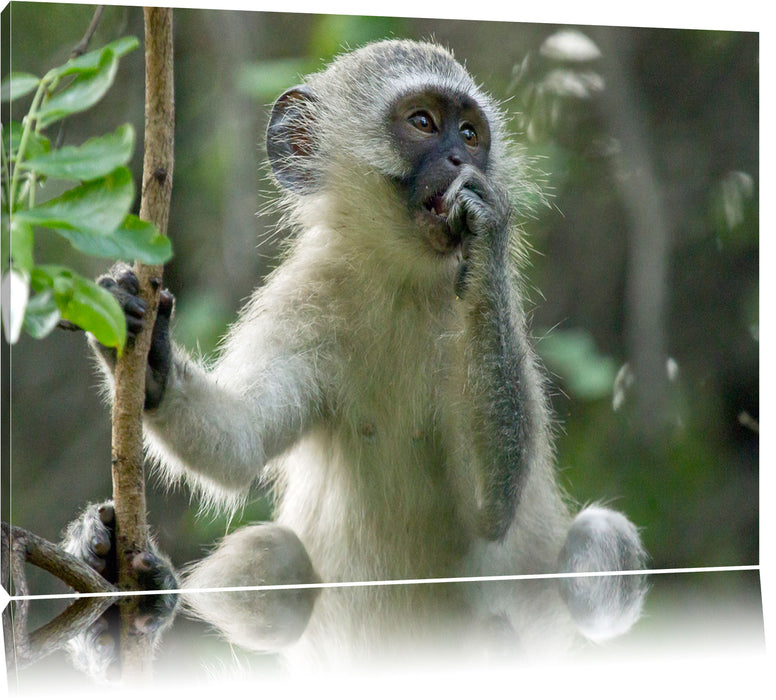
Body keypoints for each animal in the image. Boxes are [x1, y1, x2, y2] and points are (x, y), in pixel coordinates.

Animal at [69, 39, 644, 660]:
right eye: (423, 123)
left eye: (470, 134)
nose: (460, 161)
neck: (401, 281)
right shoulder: (306, 296)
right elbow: (241, 444)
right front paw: (146, 354)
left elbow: (490, 507)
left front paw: (488, 226)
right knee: (269, 559)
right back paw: (124, 571)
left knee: (601, 542)